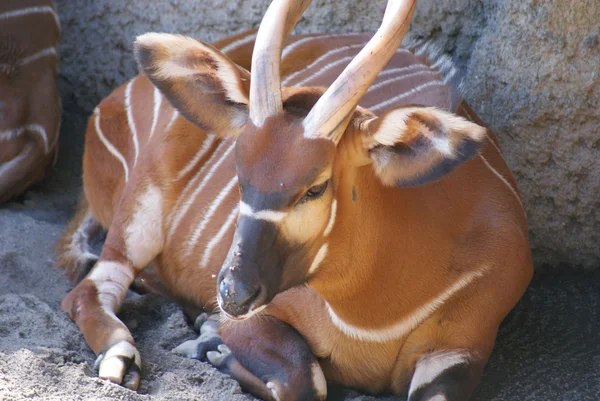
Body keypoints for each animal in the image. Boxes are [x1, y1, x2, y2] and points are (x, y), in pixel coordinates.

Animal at [57, 0, 536, 400]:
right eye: (239, 174)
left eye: (315, 186)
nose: (232, 293)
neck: (371, 317)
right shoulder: (261, 320)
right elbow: (306, 381)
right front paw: (215, 346)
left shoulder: (458, 351)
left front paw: (211, 340)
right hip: (141, 205)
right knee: (87, 289)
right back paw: (123, 358)